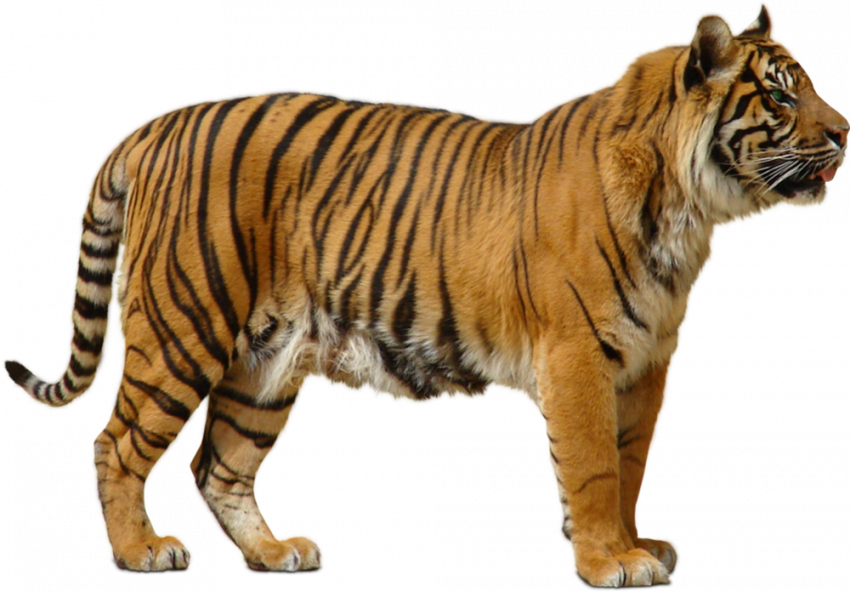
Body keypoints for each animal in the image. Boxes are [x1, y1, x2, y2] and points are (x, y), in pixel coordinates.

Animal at [2, 0, 846, 588]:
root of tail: (151, 124)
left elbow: (630, 462)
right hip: (186, 325)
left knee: (219, 464)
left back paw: (275, 552)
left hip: (267, 363)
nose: (843, 132)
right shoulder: (577, 354)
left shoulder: (648, 363)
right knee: (117, 444)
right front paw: (611, 560)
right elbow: (594, 465)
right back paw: (140, 551)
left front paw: (635, 544)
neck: (690, 212)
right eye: (780, 96)